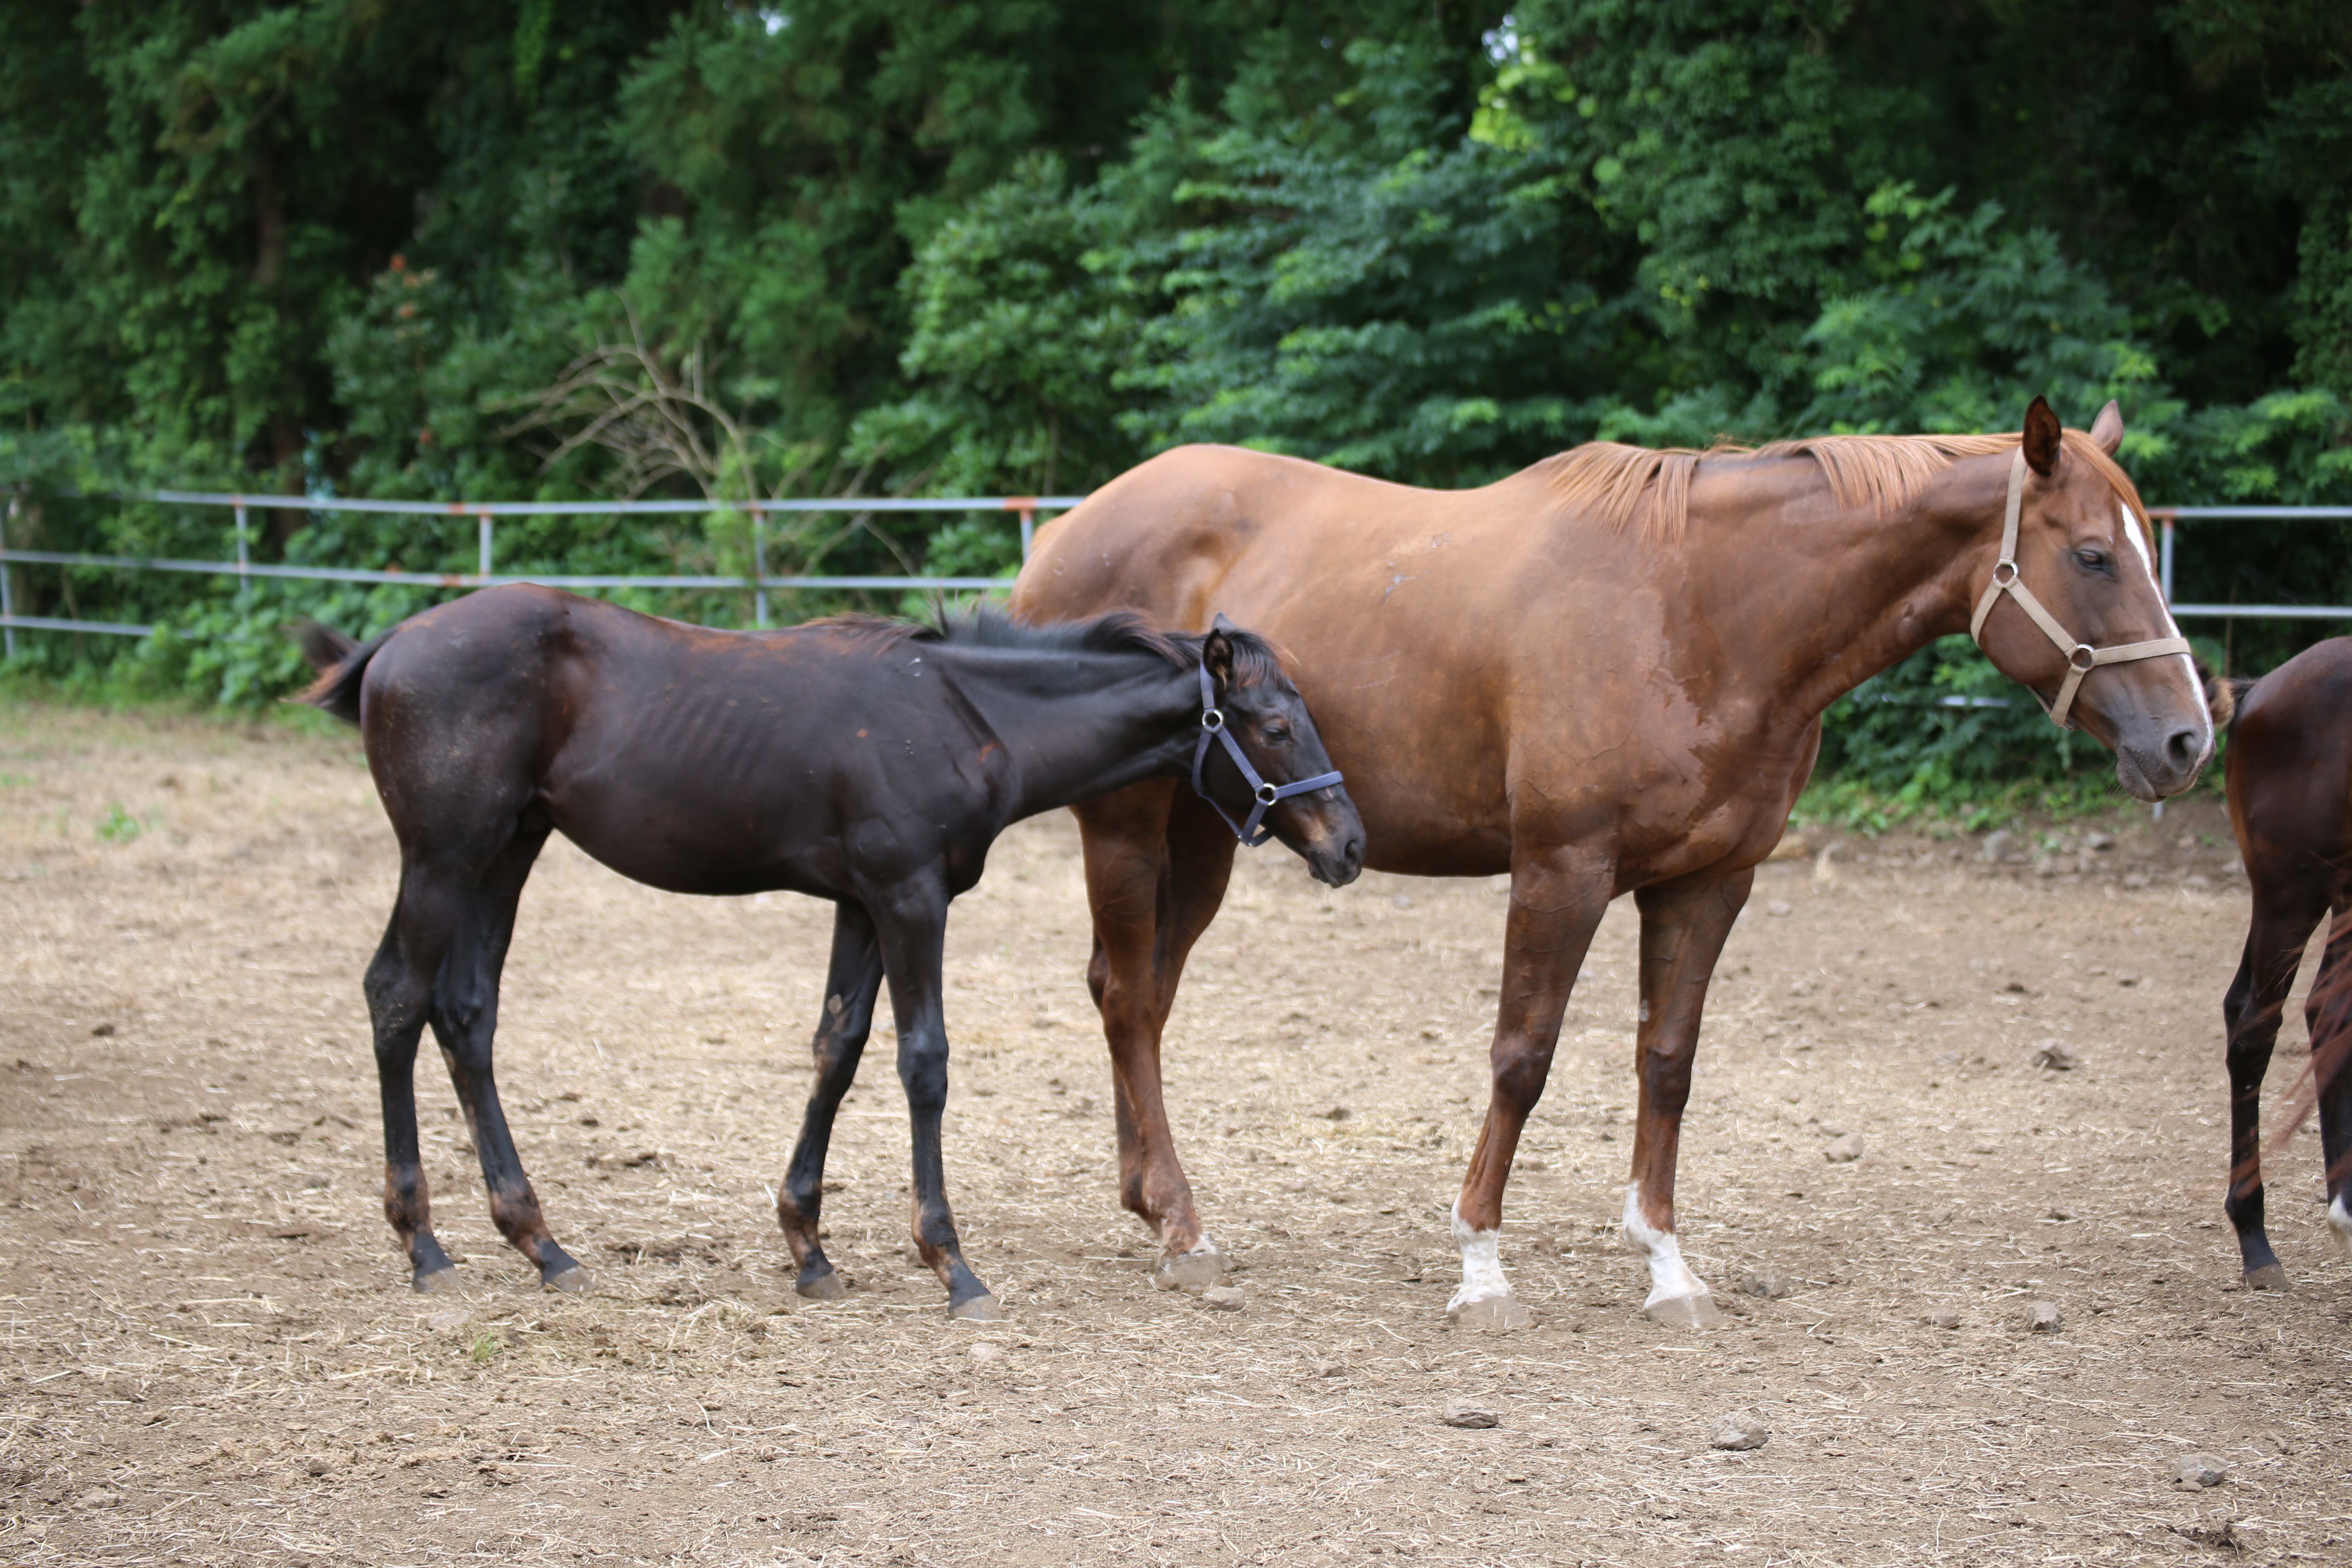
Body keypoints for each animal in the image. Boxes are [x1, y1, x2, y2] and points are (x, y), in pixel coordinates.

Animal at [298, 583, 1364, 1316]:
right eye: (1274, 724)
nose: (1349, 845)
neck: (963, 715)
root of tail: (394, 643)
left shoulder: (860, 905)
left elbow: (835, 1052)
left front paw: (808, 1248)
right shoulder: (908, 897)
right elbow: (923, 1062)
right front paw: (951, 1262)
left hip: (508, 851)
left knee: (466, 1013)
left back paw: (540, 1242)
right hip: (444, 856)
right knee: (397, 995)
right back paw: (424, 1243)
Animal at [1016, 399, 2220, 1335]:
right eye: (2093, 555)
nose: (2186, 740)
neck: (1701, 609)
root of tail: (1065, 532)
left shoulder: (1709, 882)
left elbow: (1666, 1064)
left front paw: (1667, 1268)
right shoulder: (1562, 868)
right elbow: (1522, 1058)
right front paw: (1481, 1270)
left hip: (1209, 833)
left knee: (1141, 997)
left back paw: (1152, 1203)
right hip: (1127, 827)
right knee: (1128, 1000)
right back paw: (1181, 1223)